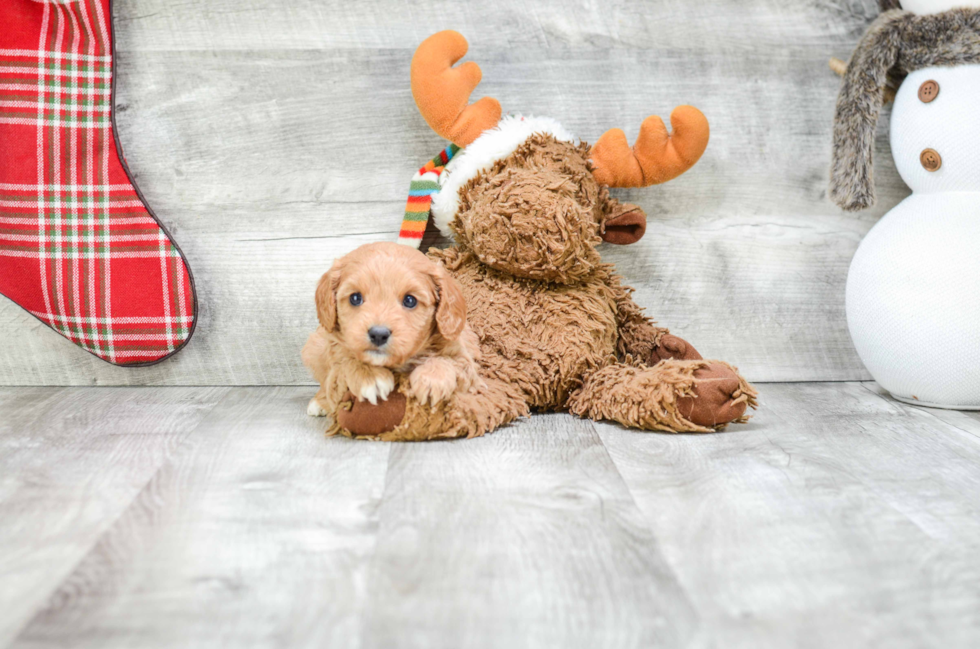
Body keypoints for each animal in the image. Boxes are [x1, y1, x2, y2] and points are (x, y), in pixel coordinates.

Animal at [300, 240, 480, 418]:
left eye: (410, 300)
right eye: (355, 298)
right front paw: (369, 376)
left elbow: (451, 361)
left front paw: (432, 378)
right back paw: (319, 402)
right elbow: (345, 360)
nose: (378, 334)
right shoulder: (334, 349)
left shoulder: (464, 359)